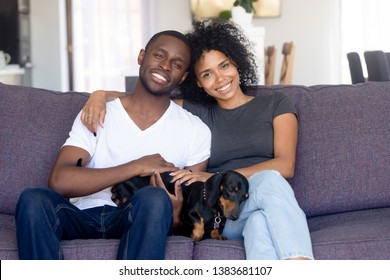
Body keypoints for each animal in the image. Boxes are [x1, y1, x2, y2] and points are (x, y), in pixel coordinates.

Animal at [111, 170, 248, 242]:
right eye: (231, 190)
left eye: (245, 197)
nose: (235, 217)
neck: (215, 210)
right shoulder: (187, 214)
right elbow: (199, 223)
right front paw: (196, 235)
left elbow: (215, 230)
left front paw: (218, 236)